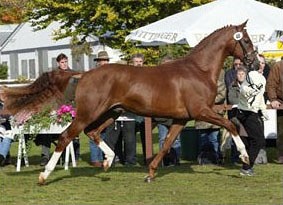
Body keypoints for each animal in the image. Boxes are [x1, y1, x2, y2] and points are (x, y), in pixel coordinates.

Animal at [0, 20, 258, 184]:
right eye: (245, 40)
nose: (254, 62)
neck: (198, 70)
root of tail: (84, 74)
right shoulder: (201, 111)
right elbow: (231, 125)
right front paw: (245, 158)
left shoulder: (181, 119)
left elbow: (166, 145)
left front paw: (150, 174)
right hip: (88, 113)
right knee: (66, 137)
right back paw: (44, 176)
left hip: (111, 113)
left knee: (93, 133)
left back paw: (107, 161)